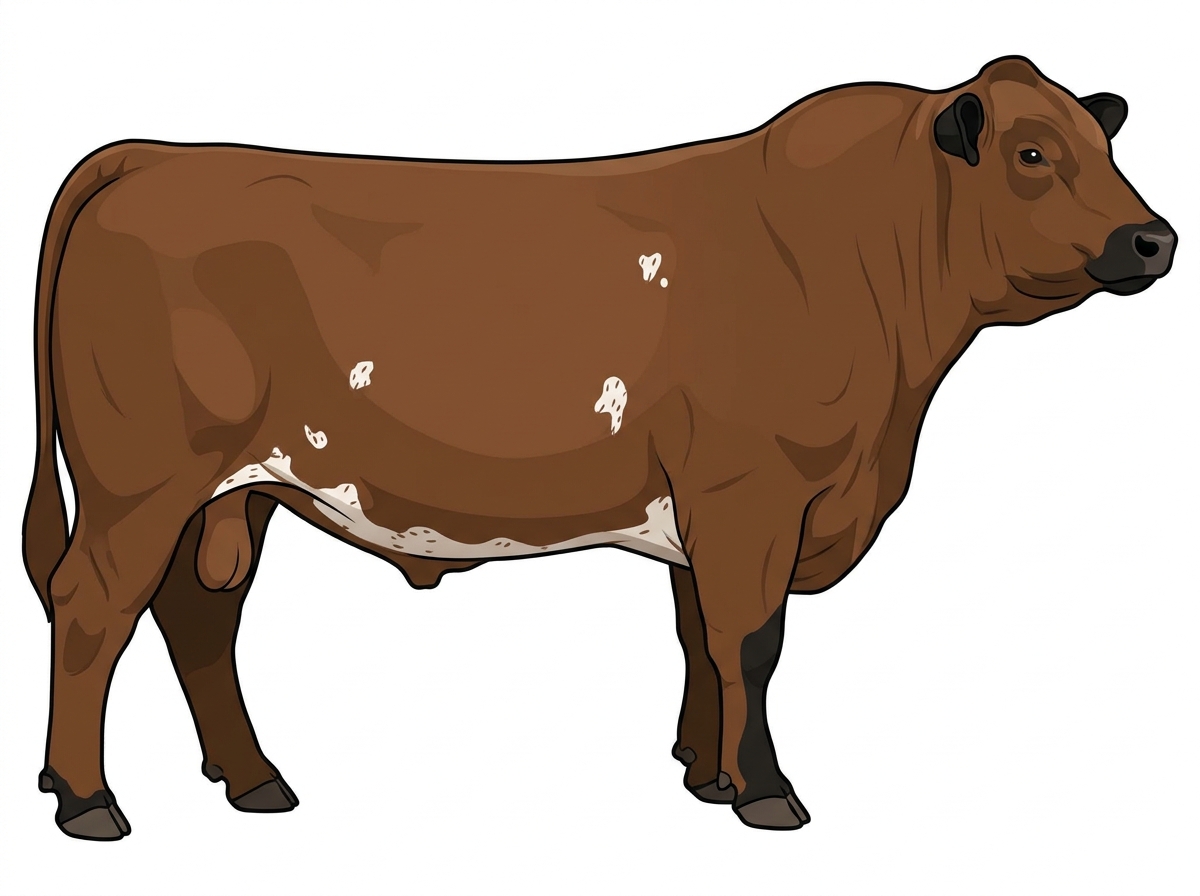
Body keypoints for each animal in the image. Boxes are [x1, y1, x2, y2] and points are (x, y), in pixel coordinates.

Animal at [22, 56, 1176, 840]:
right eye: (1032, 154)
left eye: (1106, 145)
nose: (1155, 237)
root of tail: (154, 154)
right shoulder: (753, 491)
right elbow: (752, 640)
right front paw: (767, 792)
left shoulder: (708, 506)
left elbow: (701, 635)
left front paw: (706, 774)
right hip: (140, 480)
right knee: (93, 607)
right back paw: (86, 799)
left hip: (234, 490)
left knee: (196, 615)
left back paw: (255, 779)